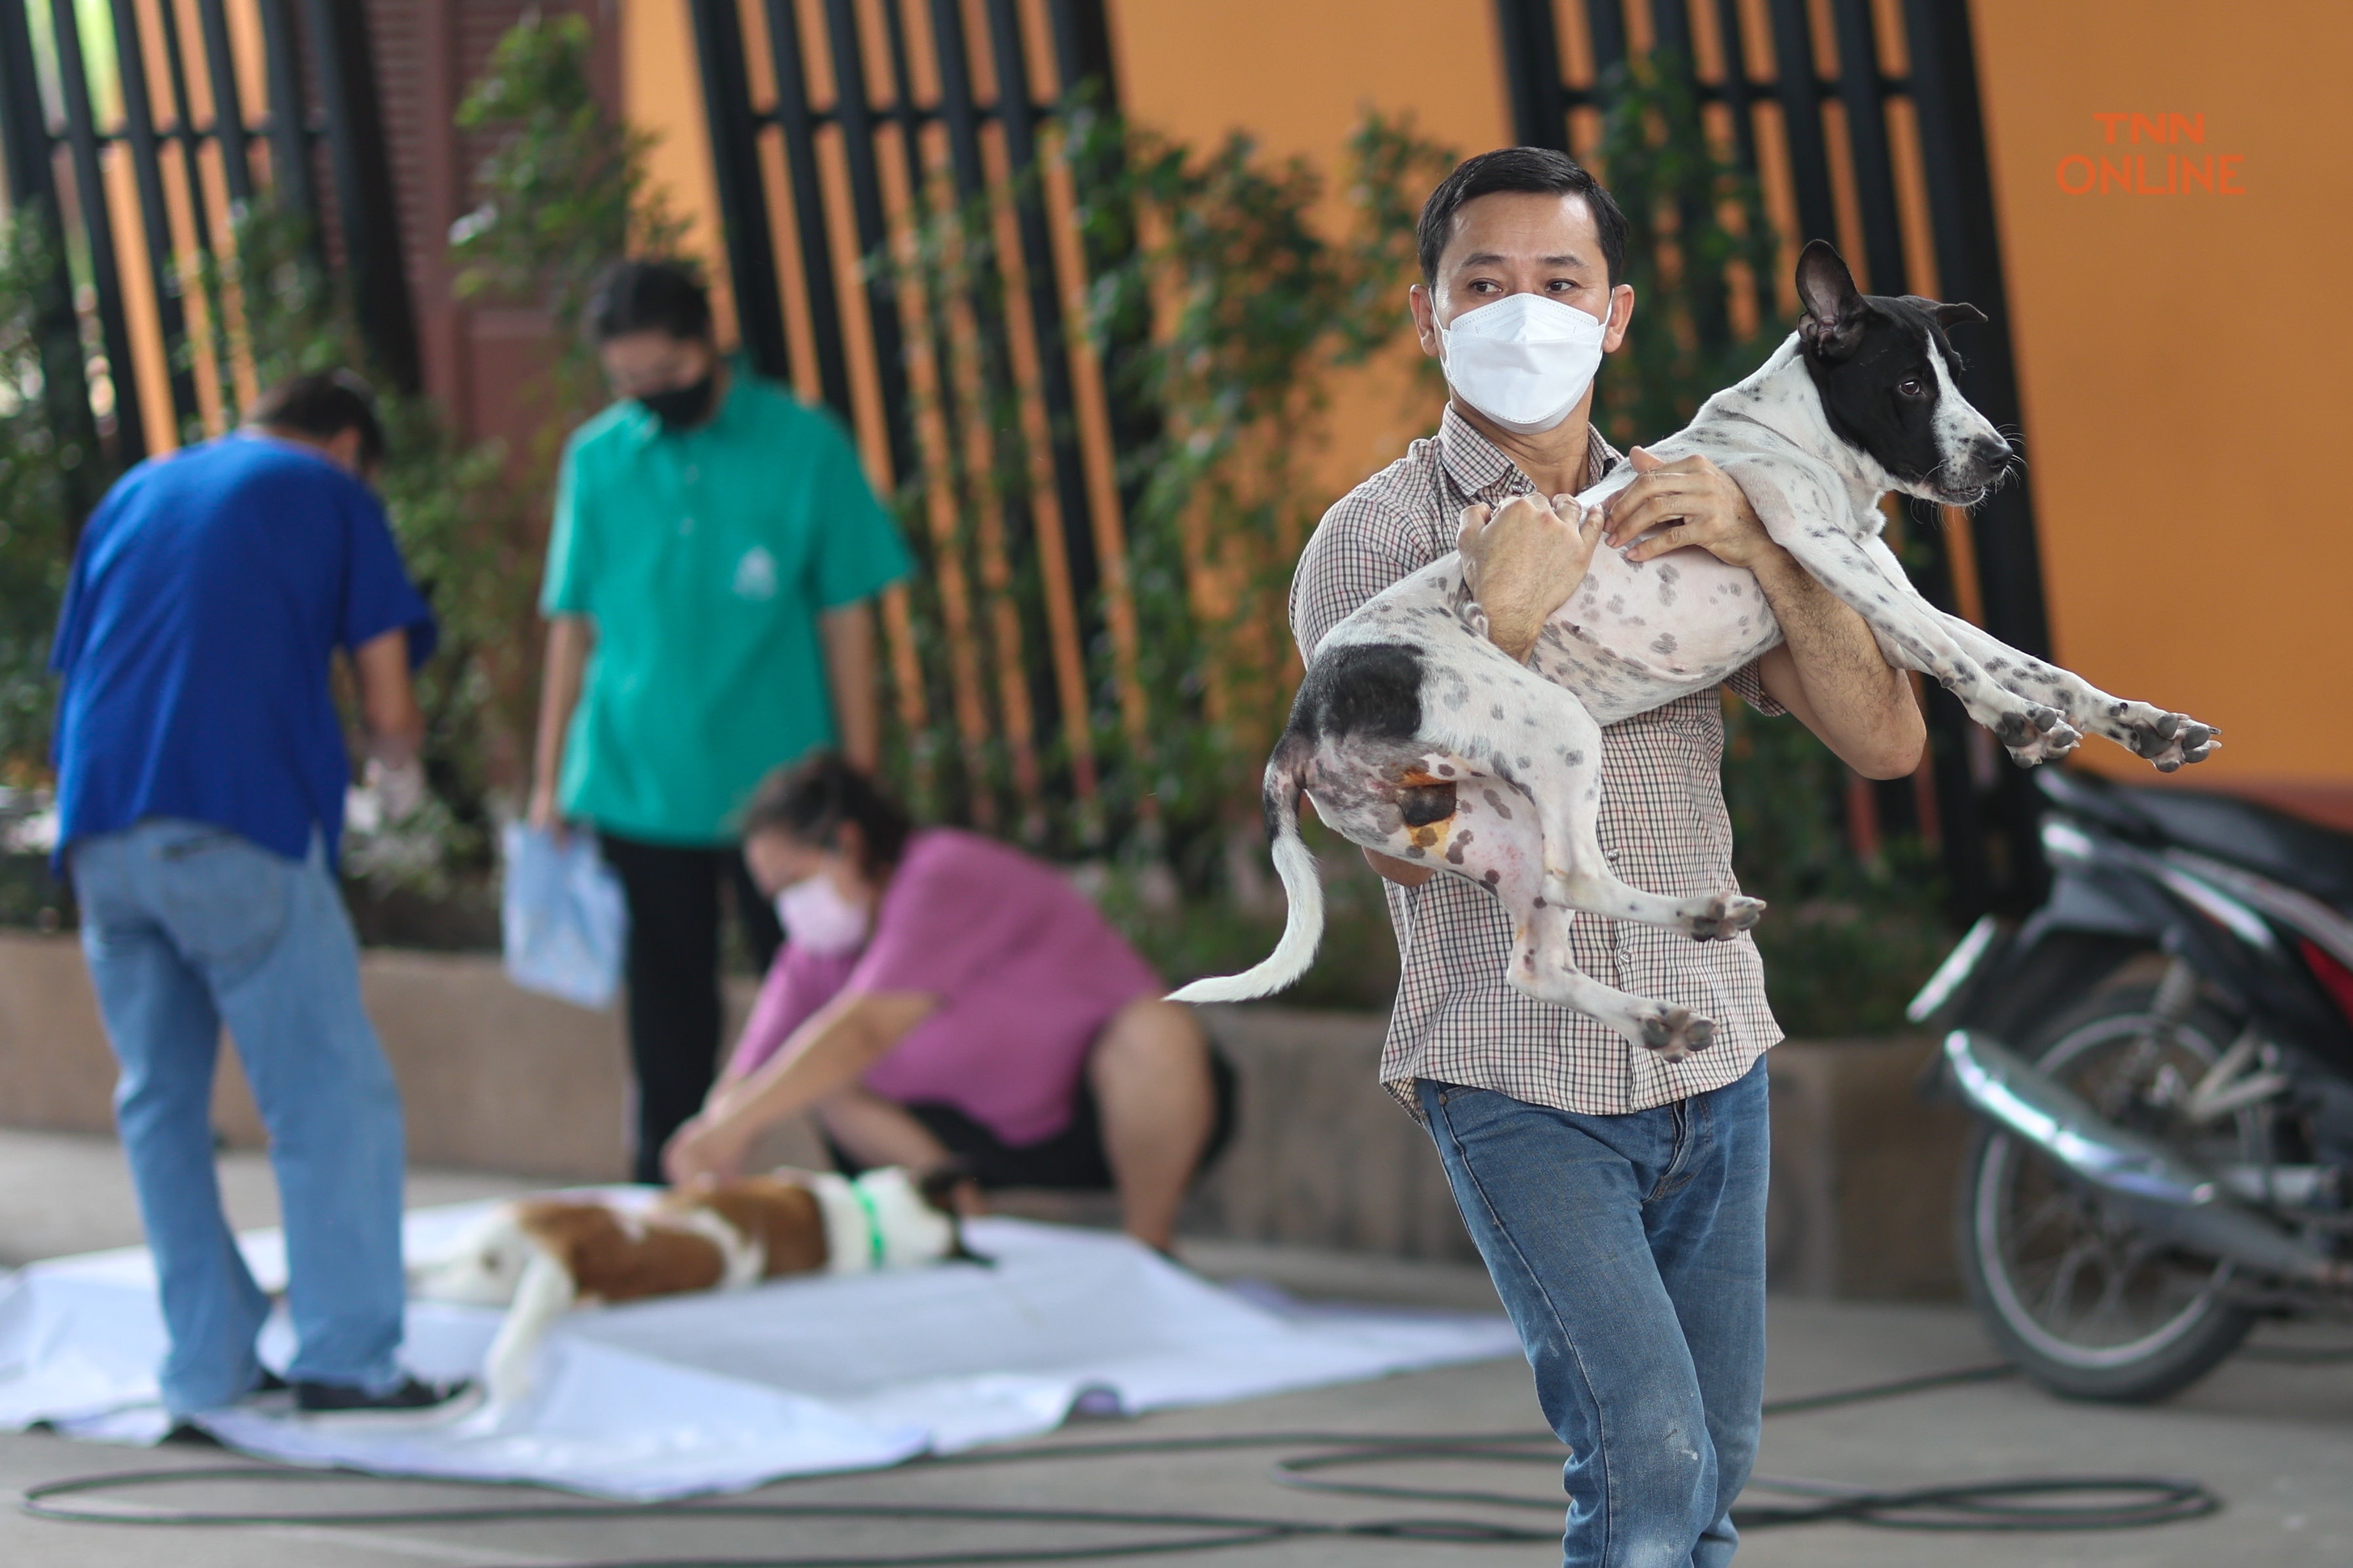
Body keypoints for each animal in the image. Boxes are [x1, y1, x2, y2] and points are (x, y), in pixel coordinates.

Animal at [1185, 242, 2212, 1053]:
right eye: (1911, 385)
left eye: (1958, 374)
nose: (2000, 456)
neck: (1794, 441)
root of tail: (1300, 717)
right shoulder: (1830, 555)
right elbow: (1964, 664)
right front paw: (2015, 723)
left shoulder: (1877, 583)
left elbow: (2025, 661)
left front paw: (2144, 725)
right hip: (1553, 733)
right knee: (1576, 874)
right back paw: (1696, 921)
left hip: (1478, 822)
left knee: (1535, 958)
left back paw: (1664, 992)